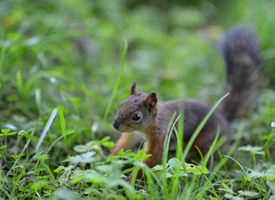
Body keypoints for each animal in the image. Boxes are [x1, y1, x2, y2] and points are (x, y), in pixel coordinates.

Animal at [111, 27, 262, 182]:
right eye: (120, 104)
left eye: (137, 116)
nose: (115, 125)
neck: (150, 124)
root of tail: (224, 118)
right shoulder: (133, 134)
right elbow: (124, 142)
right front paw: (111, 158)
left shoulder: (160, 136)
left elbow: (151, 158)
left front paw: (132, 178)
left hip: (205, 138)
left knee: (208, 154)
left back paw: (195, 165)